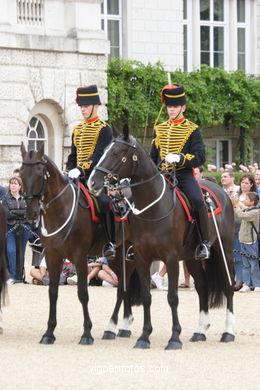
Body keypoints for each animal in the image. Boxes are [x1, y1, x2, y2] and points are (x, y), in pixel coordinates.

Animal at [20, 144, 140, 344]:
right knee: (125, 286)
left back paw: (114, 327)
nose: (31, 213)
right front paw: (49, 332)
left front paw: (87, 333)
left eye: (39, 173)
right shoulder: (53, 256)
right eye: (21, 173)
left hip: (128, 254)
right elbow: (53, 292)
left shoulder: (79, 257)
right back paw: (123, 326)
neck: (61, 209)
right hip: (116, 257)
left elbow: (83, 293)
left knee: (123, 287)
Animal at [87, 128, 236, 350]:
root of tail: (221, 192)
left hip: (224, 251)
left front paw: (174, 338)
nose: (92, 183)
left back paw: (228, 332)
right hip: (190, 257)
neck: (154, 207)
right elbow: (145, 296)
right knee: (202, 286)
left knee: (228, 285)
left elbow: (172, 297)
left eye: (115, 153)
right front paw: (143, 337)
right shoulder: (141, 258)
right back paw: (200, 331)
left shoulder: (171, 258)